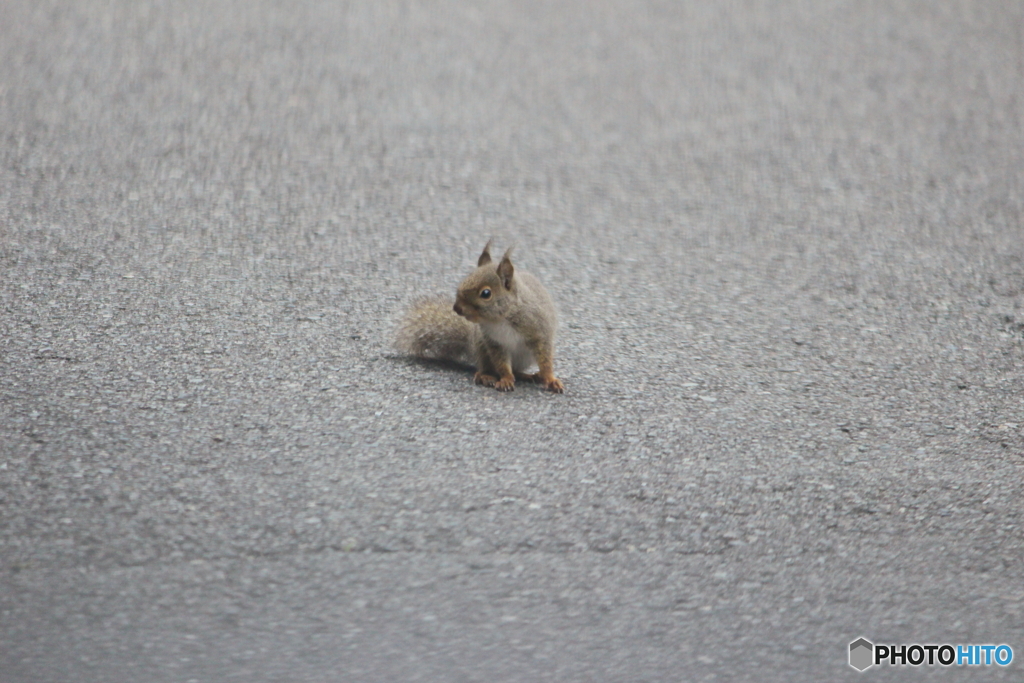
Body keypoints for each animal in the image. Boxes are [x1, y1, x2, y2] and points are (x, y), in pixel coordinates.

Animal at [393, 240, 569, 393]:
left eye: (486, 293)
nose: (457, 308)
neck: (501, 318)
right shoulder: (494, 342)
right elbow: (502, 364)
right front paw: (506, 379)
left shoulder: (539, 333)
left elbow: (545, 360)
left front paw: (550, 379)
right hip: (481, 346)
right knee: (486, 368)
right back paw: (485, 376)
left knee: (518, 370)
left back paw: (530, 375)